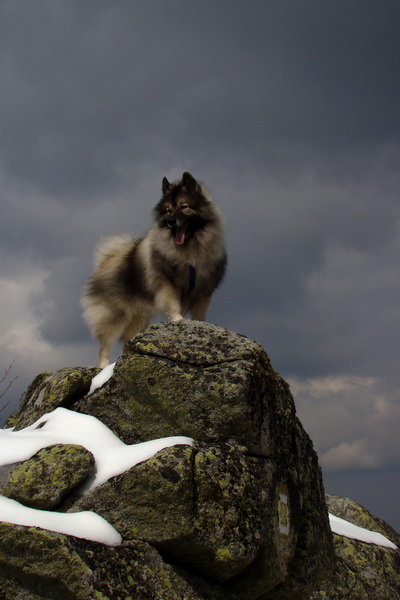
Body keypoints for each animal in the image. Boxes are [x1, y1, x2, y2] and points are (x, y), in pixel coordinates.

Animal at [81, 169, 227, 366]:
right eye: (168, 210)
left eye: (184, 207)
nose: (171, 221)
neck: (189, 252)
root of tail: (108, 259)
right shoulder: (168, 284)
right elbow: (173, 304)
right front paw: (178, 319)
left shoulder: (203, 292)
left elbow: (199, 315)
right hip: (115, 315)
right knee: (105, 344)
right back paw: (104, 367)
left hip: (139, 315)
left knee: (128, 337)